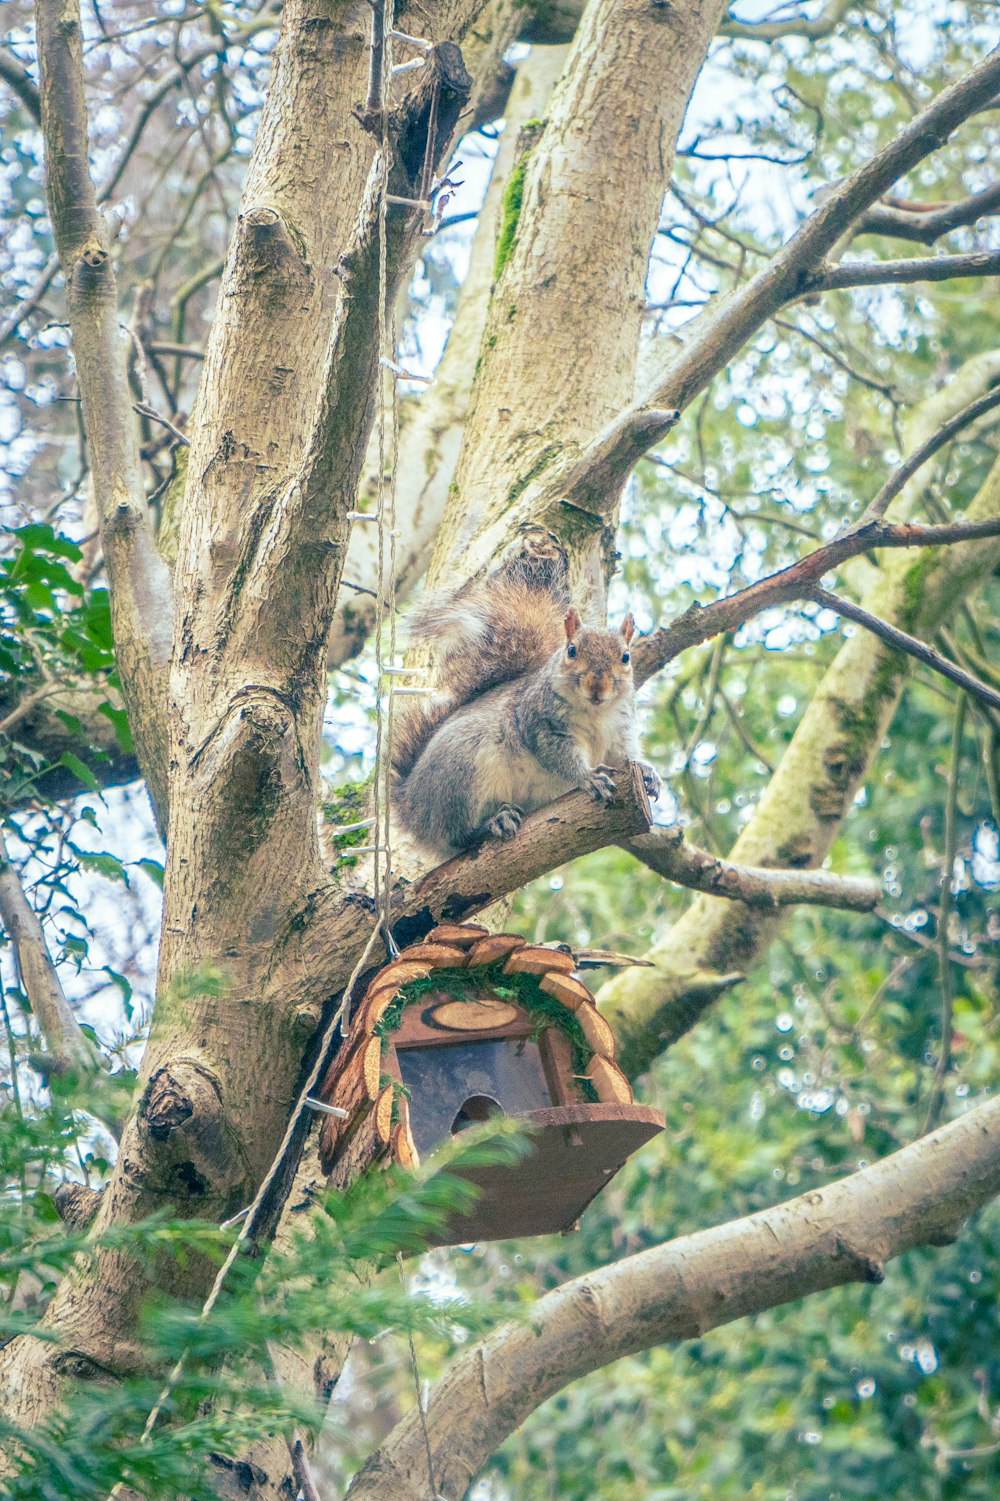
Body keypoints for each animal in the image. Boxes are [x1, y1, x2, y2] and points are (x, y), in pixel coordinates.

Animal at [390, 525, 660, 858]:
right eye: (572, 650)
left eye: (626, 657)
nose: (597, 686)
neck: (596, 713)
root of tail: (411, 809)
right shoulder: (539, 723)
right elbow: (558, 755)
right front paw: (588, 777)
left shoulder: (620, 728)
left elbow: (624, 755)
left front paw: (647, 772)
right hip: (461, 769)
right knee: (456, 834)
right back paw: (492, 821)